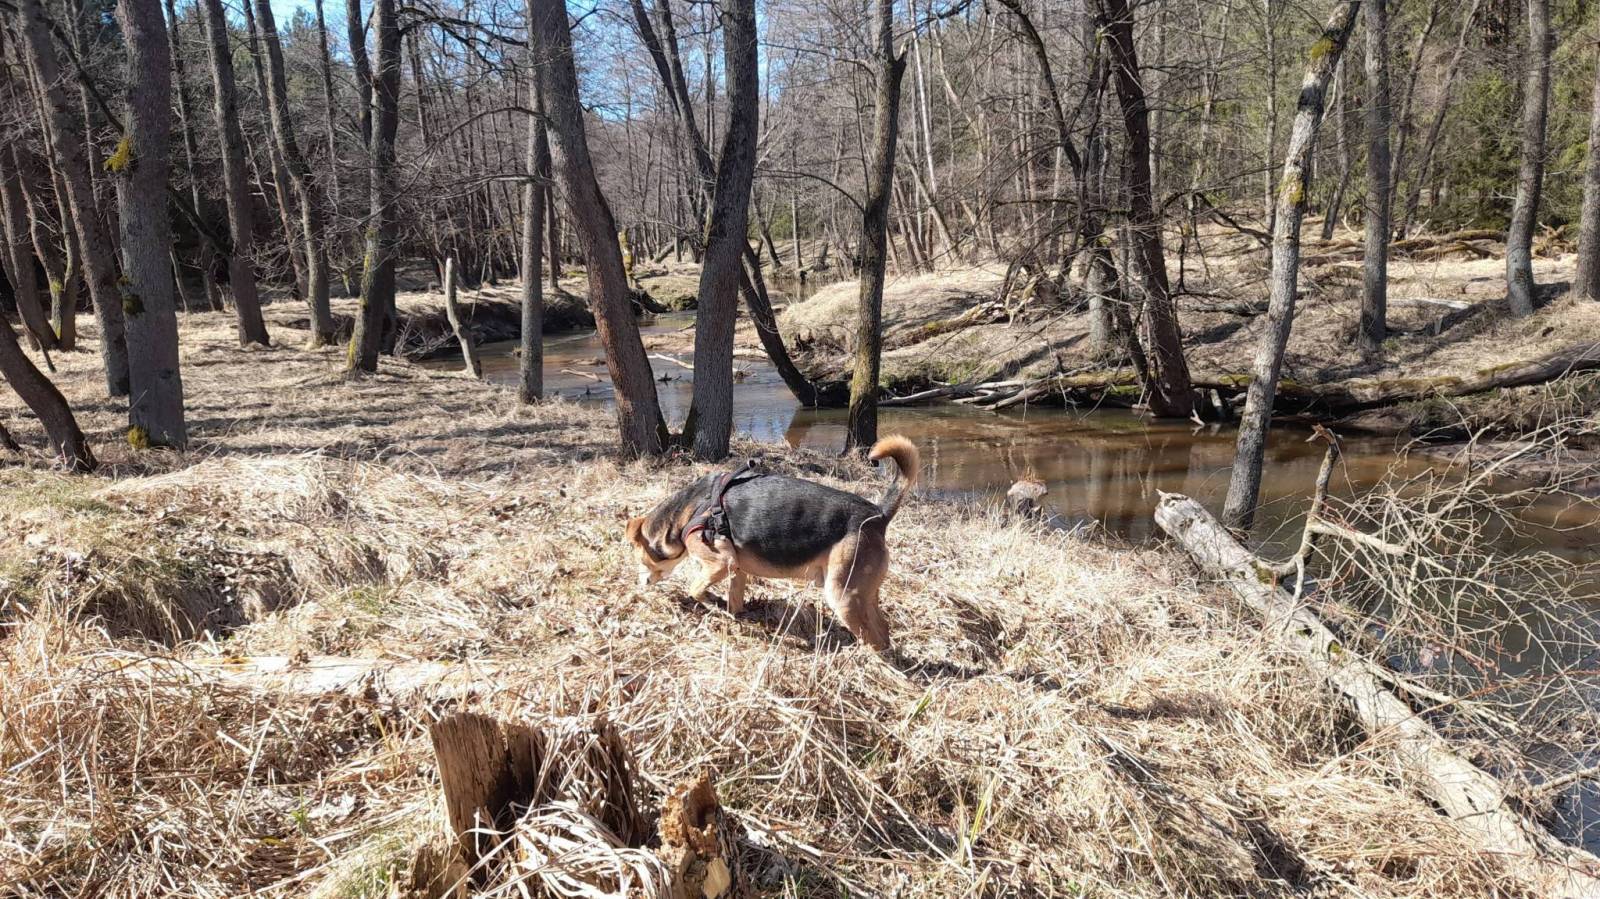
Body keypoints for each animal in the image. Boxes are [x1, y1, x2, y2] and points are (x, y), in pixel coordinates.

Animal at [625, 436, 919, 650]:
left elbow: (695, 589)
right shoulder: (736, 569)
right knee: (883, 630)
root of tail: (878, 514)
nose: (639, 583)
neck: (687, 510)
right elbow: (734, 601)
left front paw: (710, 602)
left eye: (639, 558)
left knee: (875, 639)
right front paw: (733, 617)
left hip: (843, 596)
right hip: (863, 594)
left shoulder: (720, 563)